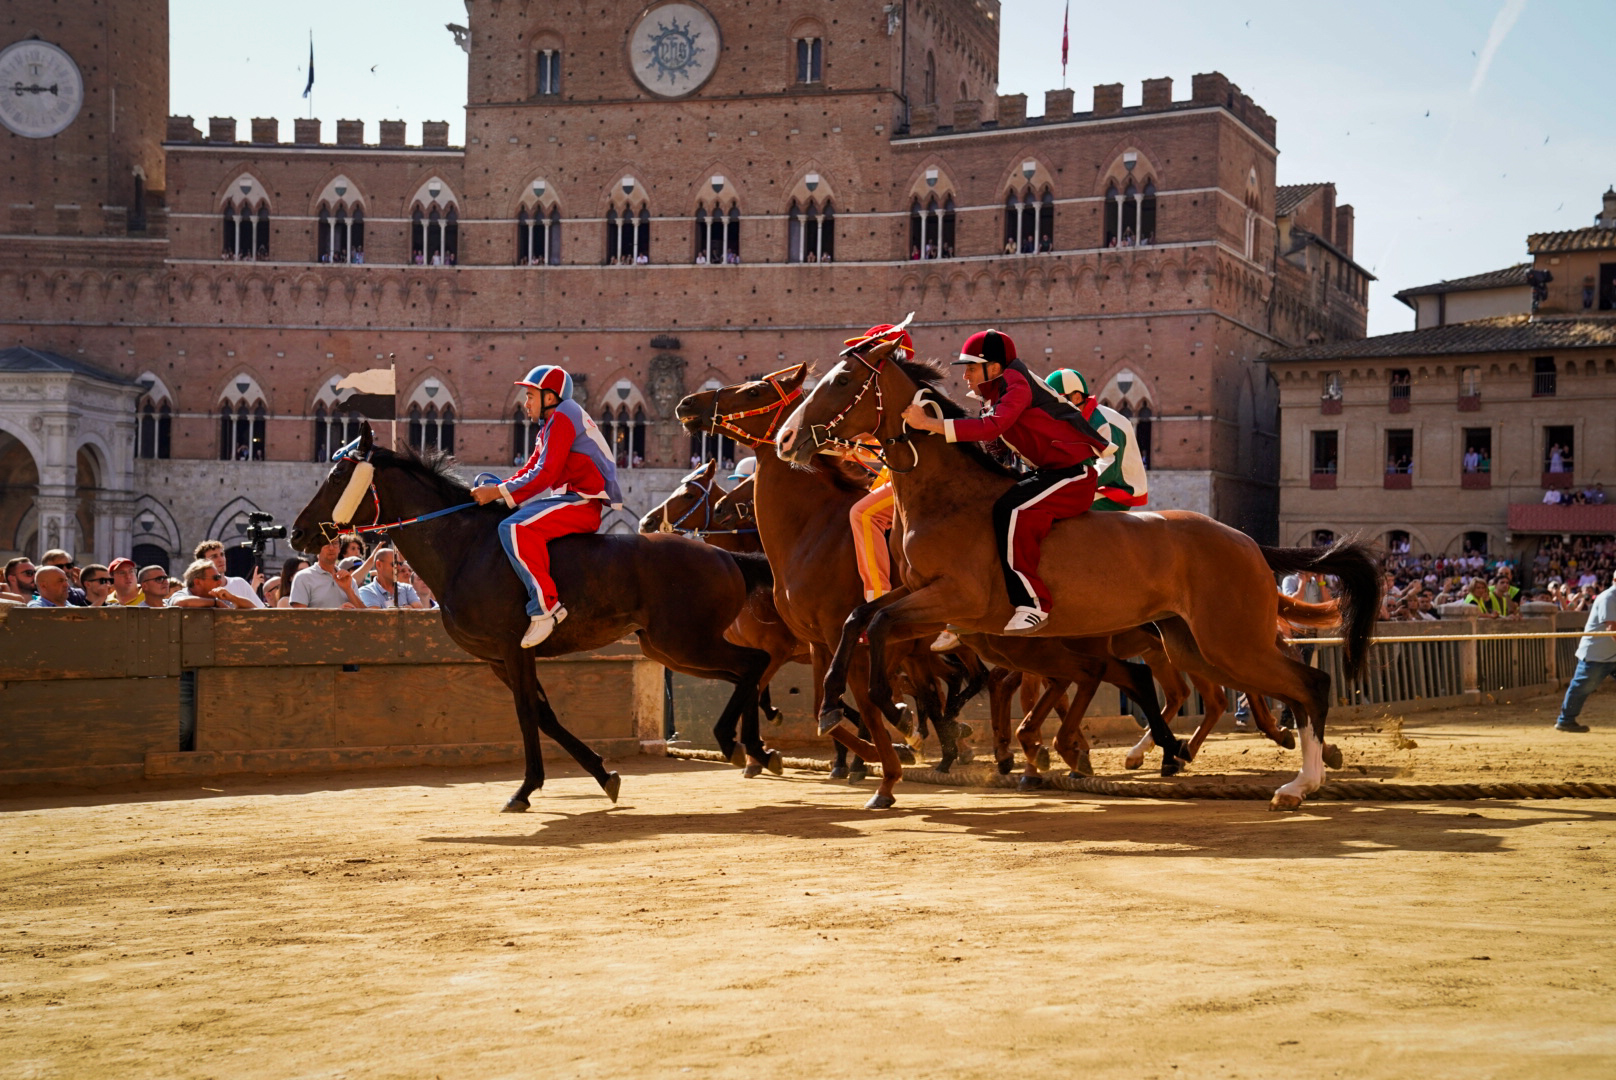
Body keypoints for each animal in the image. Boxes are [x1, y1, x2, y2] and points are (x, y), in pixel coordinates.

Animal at [292, 420, 782, 808]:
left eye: (338, 475)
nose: (296, 532)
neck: (466, 548)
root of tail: (724, 555)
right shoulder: (497, 659)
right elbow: (545, 715)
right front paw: (603, 774)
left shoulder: (514, 649)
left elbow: (528, 713)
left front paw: (526, 788)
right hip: (670, 649)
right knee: (747, 672)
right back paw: (754, 746)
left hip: (684, 641)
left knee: (753, 663)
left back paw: (734, 740)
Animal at [775, 344, 1383, 808]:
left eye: (843, 380)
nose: (785, 439)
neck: (948, 498)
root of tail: (1248, 542)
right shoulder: (921, 599)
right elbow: (860, 619)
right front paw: (839, 708)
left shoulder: (955, 600)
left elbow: (877, 630)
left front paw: (897, 713)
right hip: (1195, 643)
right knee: (1262, 689)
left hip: (1230, 639)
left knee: (1308, 684)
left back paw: (1298, 780)